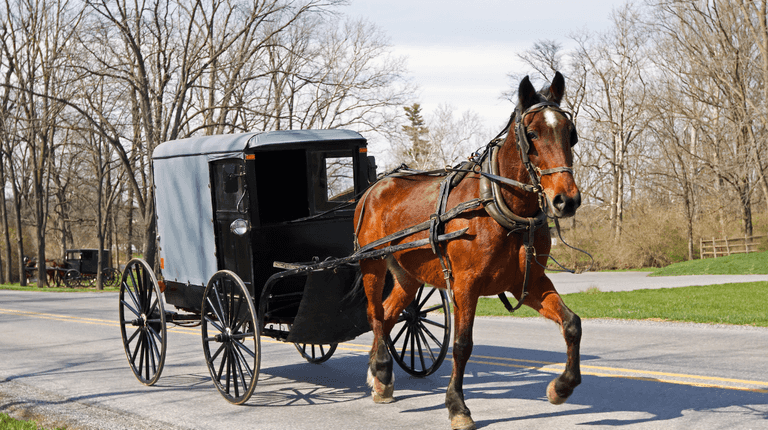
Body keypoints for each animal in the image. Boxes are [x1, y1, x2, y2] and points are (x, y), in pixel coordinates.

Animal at [353, 72, 582, 430]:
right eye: (532, 134)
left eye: (570, 134)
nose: (566, 200)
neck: (498, 205)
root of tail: (374, 187)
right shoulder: (465, 284)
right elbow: (462, 345)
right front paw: (458, 407)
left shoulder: (528, 281)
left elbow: (572, 324)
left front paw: (562, 387)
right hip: (372, 264)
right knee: (375, 314)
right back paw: (381, 369)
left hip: (407, 274)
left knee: (389, 314)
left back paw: (380, 378)